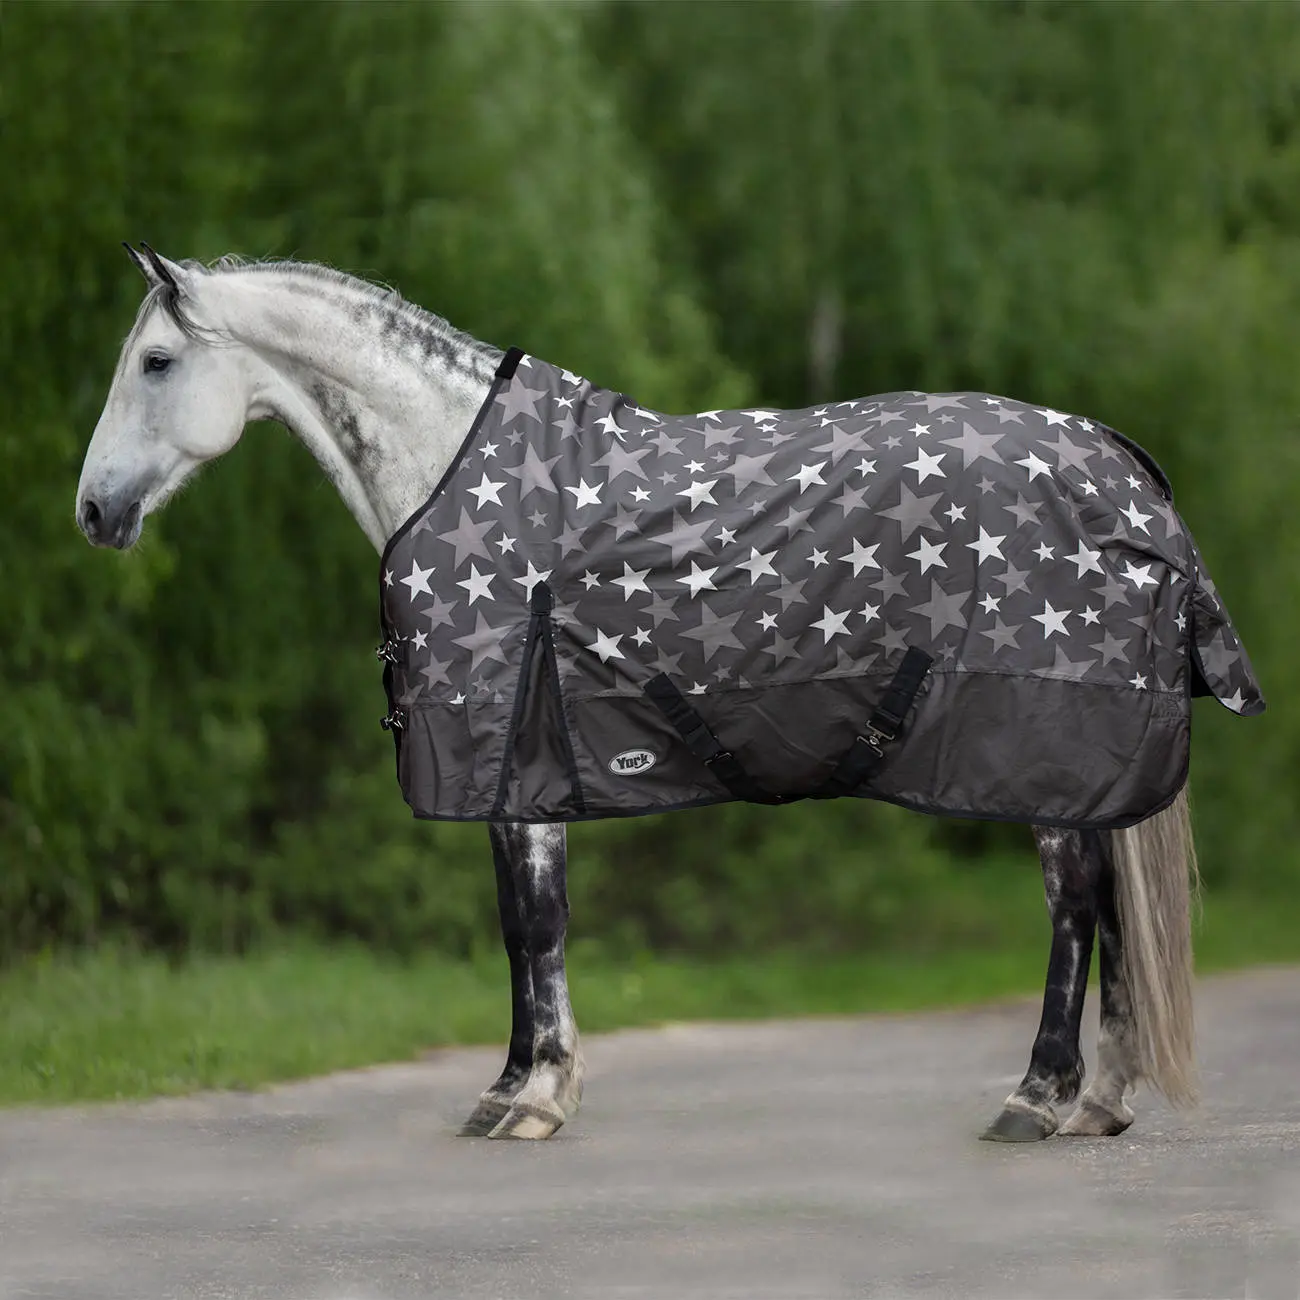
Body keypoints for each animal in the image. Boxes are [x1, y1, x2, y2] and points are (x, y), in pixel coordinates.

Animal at [75, 246, 1260, 1142]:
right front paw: (519, 1088)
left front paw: (529, 1099)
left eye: (156, 360)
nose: (92, 511)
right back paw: (1099, 1101)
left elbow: (533, 926)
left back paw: (1037, 1099)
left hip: (1041, 741)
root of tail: (1118, 466)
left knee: (1075, 906)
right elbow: (526, 927)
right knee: (1110, 910)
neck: (462, 475)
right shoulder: (523, 771)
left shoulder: (513, 759)